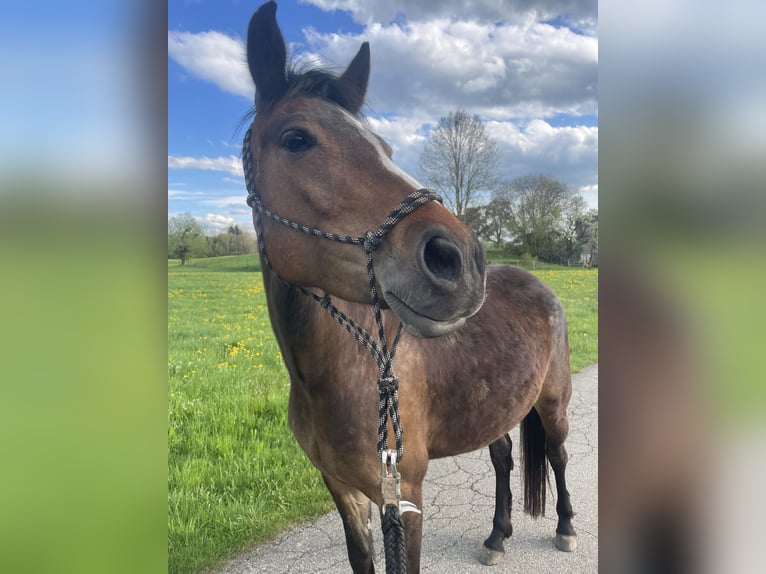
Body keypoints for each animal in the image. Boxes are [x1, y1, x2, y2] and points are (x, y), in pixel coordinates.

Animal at [241, 3, 576, 572]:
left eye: (386, 148)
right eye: (296, 138)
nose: (460, 260)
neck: (334, 374)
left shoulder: (404, 494)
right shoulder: (344, 491)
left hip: (553, 404)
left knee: (556, 455)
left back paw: (567, 527)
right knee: (504, 459)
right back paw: (497, 535)